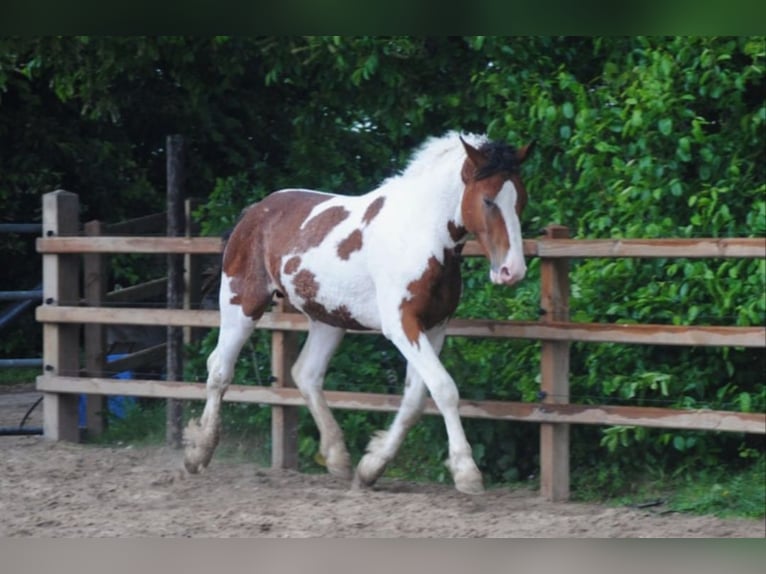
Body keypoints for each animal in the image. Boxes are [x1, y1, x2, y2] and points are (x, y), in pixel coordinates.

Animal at [183, 131, 533, 494]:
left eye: (520, 200)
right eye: (489, 200)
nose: (512, 271)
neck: (420, 235)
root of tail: (254, 212)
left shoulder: (434, 328)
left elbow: (414, 399)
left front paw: (371, 467)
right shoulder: (402, 326)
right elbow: (444, 388)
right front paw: (467, 472)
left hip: (328, 319)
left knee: (306, 374)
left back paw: (338, 457)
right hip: (242, 303)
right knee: (219, 369)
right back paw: (198, 453)